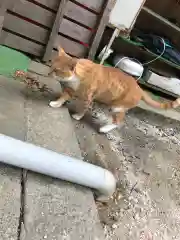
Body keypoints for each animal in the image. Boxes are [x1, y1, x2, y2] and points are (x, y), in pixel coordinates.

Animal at [48, 47, 180, 133]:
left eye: (57, 70)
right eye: (51, 66)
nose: (49, 73)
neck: (78, 75)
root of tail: (140, 88)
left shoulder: (87, 98)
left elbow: (83, 109)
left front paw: (78, 116)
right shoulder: (71, 89)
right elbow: (63, 96)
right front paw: (56, 103)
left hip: (117, 107)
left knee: (119, 121)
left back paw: (105, 128)